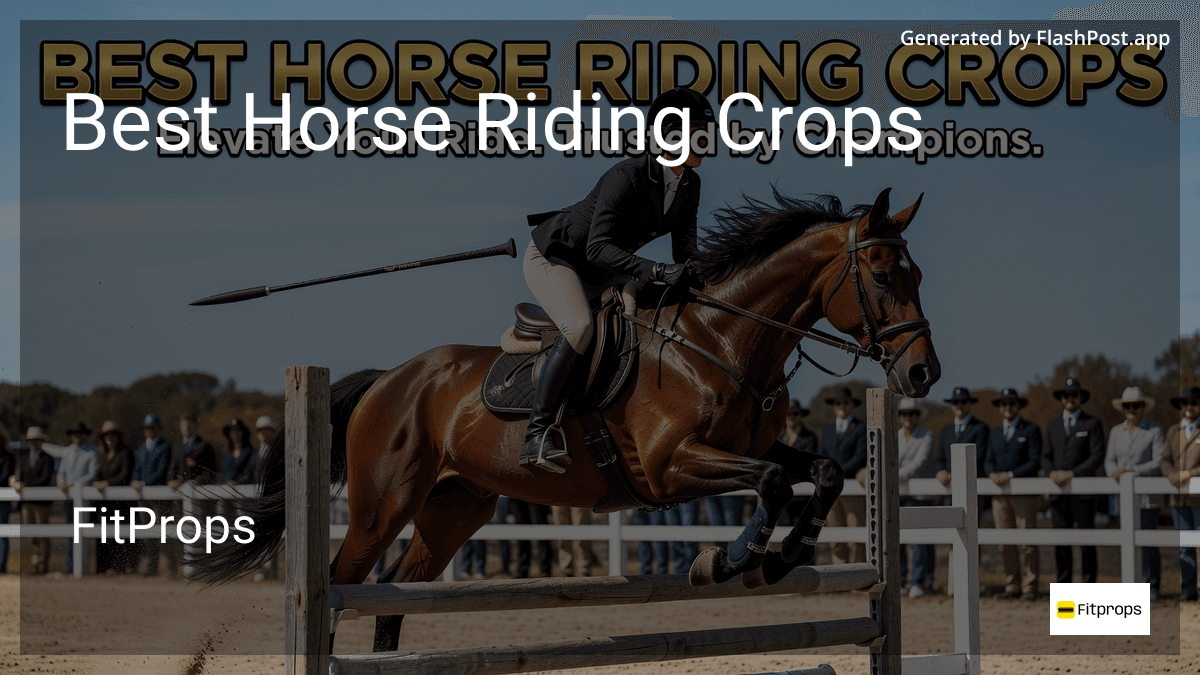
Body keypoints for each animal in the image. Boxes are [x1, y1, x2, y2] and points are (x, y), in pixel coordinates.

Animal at [190, 186, 940, 653]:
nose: (922, 375)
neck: (723, 341)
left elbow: (822, 470)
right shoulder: (671, 468)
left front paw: (787, 555)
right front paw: (727, 561)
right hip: (382, 505)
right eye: (880, 275)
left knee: (393, 597)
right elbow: (773, 484)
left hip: (454, 508)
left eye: (917, 275)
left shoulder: (757, 446)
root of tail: (390, 379)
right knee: (343, 586)